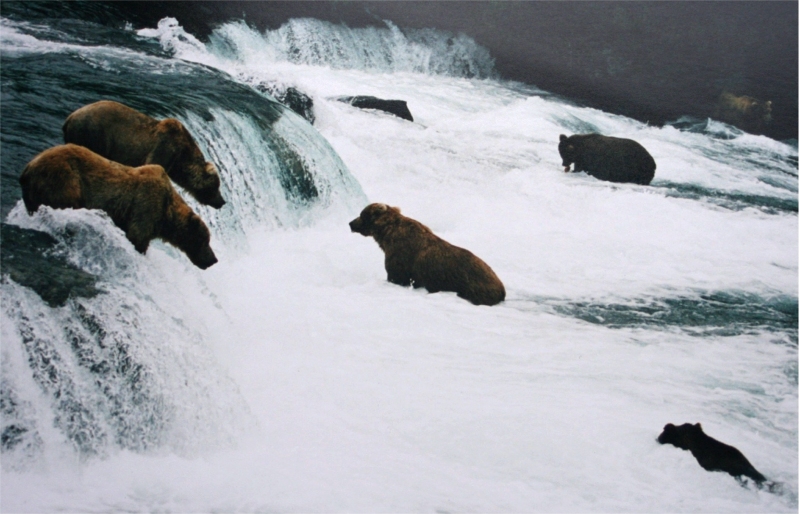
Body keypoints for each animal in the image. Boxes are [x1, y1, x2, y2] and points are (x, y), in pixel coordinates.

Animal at [19, 144, 218, 269]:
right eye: (204, 240)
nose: (213, 259)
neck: (166, 215)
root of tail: (28, 167)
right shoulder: (145, 207)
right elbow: (137, 237)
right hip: (63, 181)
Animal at [62, 100, 225, 208]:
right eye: (216, 185)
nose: (222, 201)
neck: (181, 159)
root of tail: (69, 117)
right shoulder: (164, 149)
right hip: (93, 135)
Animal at [349, 203, 505, 306]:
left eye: (362, 214)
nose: (351, 223)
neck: (386, 235)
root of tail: (502, 288)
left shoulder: (400, 258)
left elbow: (397, 276)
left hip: (473, 286)